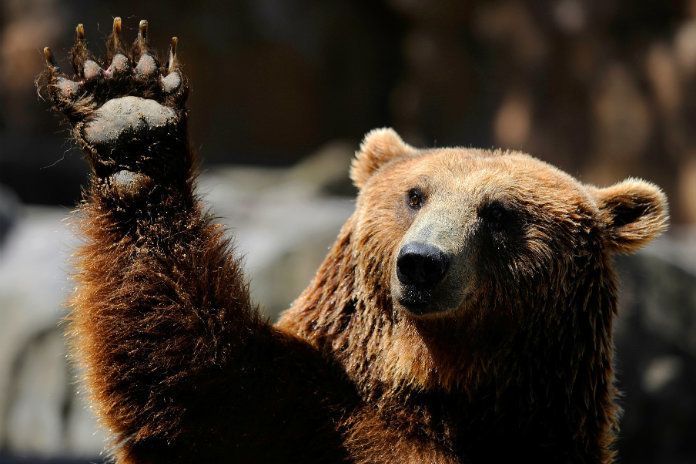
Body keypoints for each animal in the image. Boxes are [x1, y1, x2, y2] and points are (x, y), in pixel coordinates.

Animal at [39, 18, 668, 464]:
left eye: (499, 213)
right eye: (415, 195)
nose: (422, 264)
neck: (434, 385)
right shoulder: (284, 411)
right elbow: (177, 362)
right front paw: (128, 108)